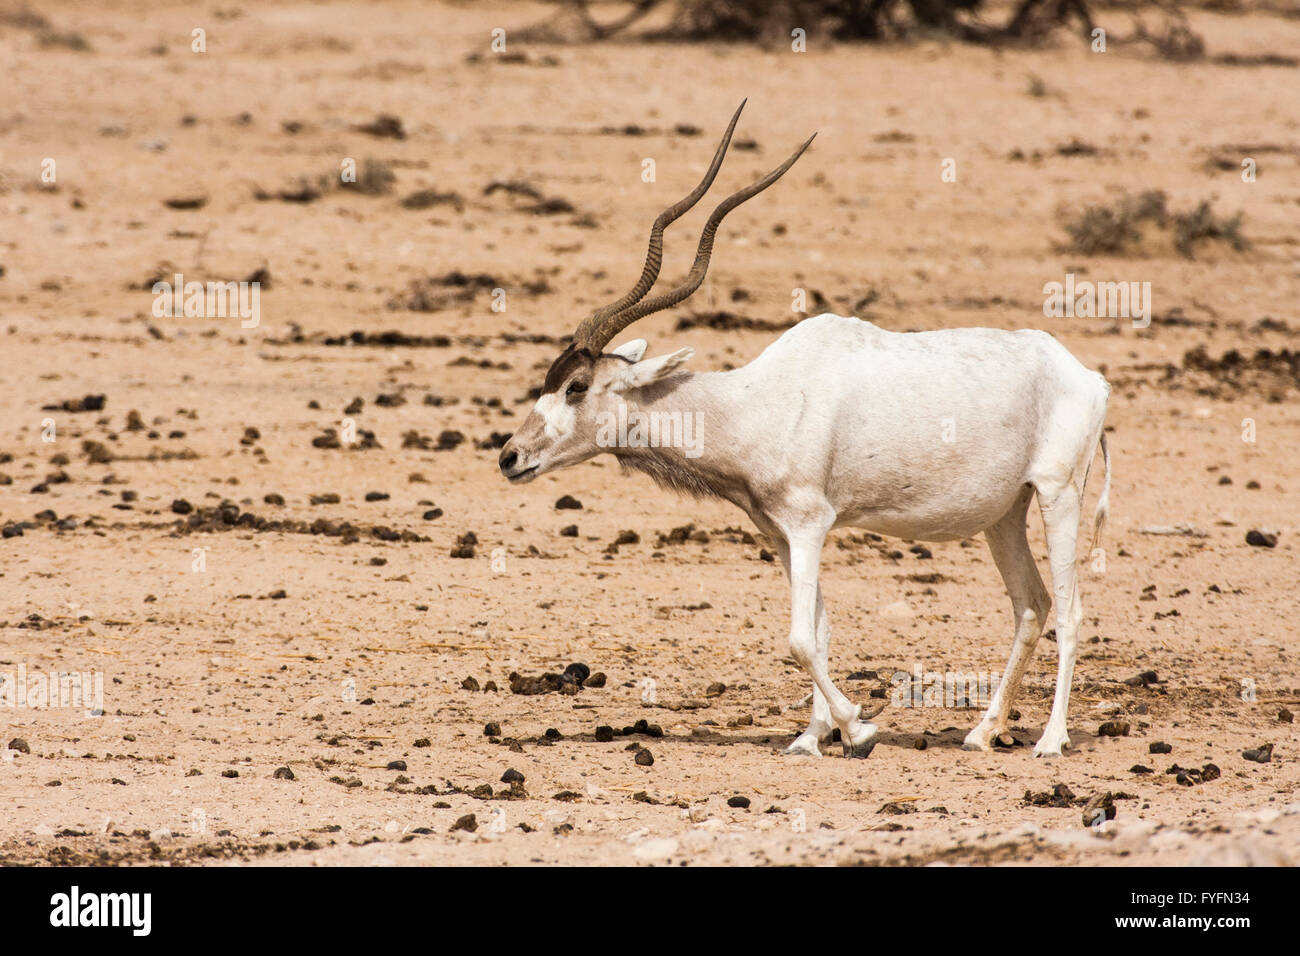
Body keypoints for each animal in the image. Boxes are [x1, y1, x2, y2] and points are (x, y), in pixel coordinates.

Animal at [496, 104, 1107, 759]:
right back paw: (984, 730)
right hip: (1004, 513)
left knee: (1069, 610)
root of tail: (1087, 376)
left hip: (1058, 494)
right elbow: (818, 629)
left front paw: (859, 728)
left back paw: (1051, 739)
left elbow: (799, 639)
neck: (756, 403)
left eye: (576, 385)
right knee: (1031, 604)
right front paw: (813, 736)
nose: (510, 456)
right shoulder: (781, 534)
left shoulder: (811, 525)